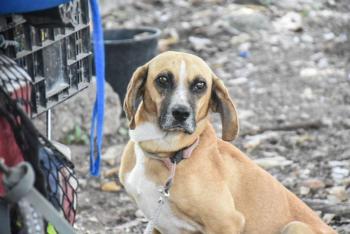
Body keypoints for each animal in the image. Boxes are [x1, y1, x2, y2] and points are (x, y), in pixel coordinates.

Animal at [119, 51, 336, 234]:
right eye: (163, 79)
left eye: (200, 85)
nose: (181, 113)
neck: (168, 153)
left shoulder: (227, 222)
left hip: (295, 226)